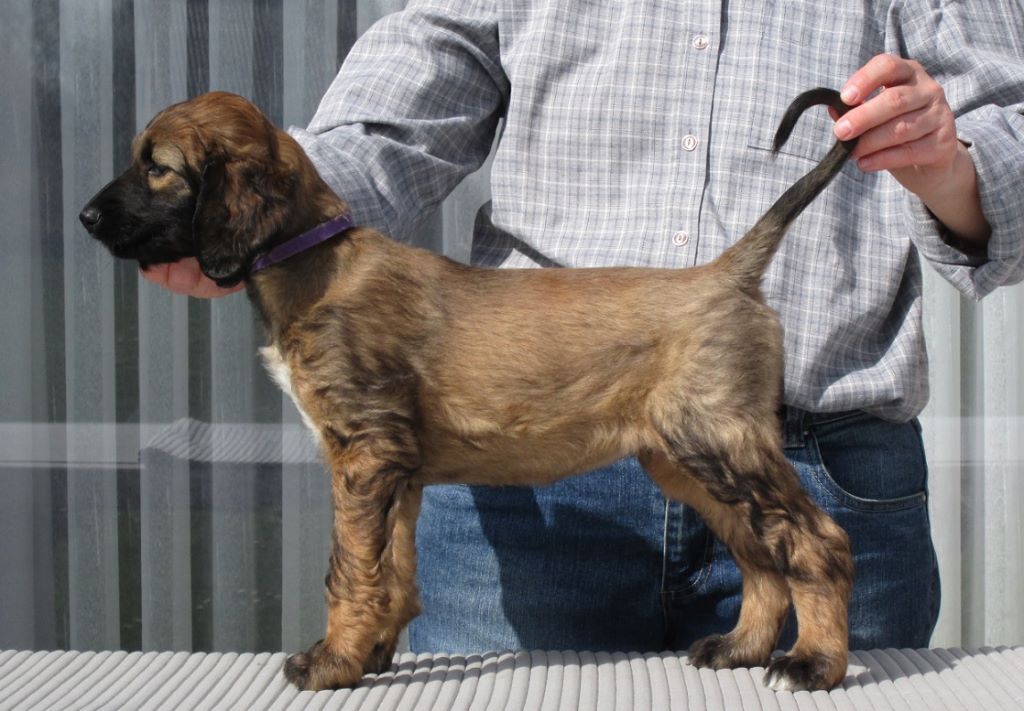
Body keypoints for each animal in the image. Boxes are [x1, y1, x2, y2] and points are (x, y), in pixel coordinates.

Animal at [81, 88, 857, 692]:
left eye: (157, 168)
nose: (86, 219)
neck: (313, 262)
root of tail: (728, 271)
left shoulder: (365, 450)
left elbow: (348, 570)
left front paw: (330, 660)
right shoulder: (396, 469)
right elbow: (390, 568)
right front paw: (371, 652)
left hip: (721, 440)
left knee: (816, 541)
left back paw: (814, 662)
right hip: (685, 456)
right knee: (761, 552)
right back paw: (741, 647)